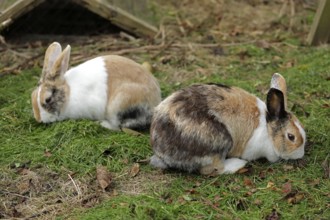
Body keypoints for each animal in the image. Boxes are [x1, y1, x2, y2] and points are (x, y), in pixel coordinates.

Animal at [31, 42, 161, 130]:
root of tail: (155, 102)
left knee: (117, 126)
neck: (69, 93)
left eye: (48, 99)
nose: (39, 119)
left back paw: (102, 124)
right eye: (32, 95)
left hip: (117, 105)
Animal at [151, 74, 306, 175]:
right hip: (219, 142)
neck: (268, 128)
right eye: (291, 137)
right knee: (212, 170)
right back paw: (237, 164)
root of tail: (162, 153)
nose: (301, 155)